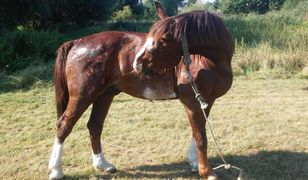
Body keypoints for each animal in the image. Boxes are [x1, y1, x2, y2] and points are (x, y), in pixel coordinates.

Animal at [47, 2, 233, 179]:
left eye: (163, 40)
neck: (207, 61)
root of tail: (76, 42)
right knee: (64, 125)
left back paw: (103, 165)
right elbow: (201, 137)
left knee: (95, 125)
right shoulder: (192, 102)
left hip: (104, 94)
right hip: (83, 95)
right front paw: (207, 172)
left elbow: (198, 132)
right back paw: (56, 170)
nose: (137, 64)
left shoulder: (206, 101)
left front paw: (194, 162)